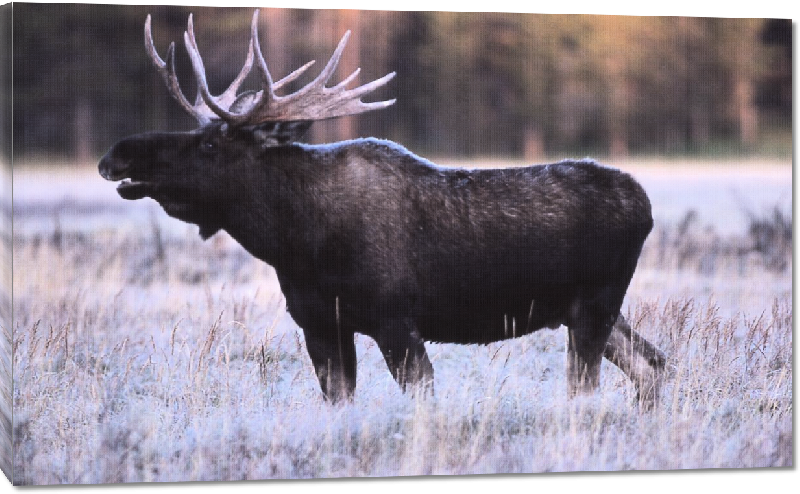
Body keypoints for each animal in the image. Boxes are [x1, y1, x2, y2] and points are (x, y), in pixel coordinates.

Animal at [97, 10, 664, 406]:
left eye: (212, 145)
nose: (117, 153)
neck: (295, 242)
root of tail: (645, 204)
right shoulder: (321, 326)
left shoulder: (395, 320)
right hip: (586, 312)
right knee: (654, 364)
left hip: (593, 306)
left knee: (594, 387)